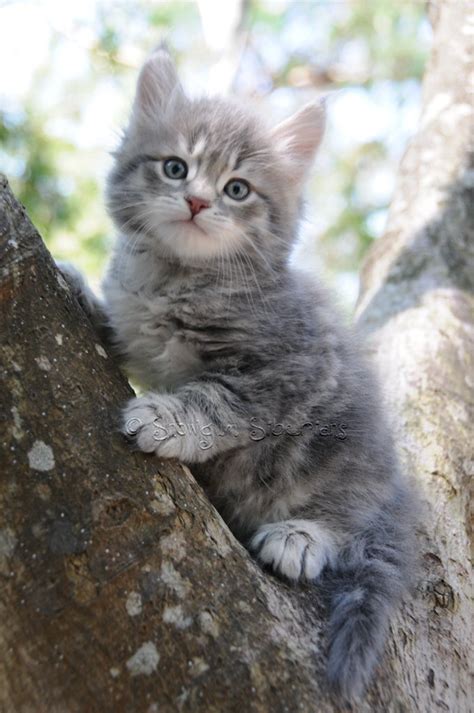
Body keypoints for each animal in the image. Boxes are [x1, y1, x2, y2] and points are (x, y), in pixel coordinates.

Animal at [58, 50, 414, 700]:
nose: (198, 202)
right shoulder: (141, 330)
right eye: (176, 168)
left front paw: (166, 418)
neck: (178, 278)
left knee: (350, 515)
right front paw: (77, 288)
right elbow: (120, 331)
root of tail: (400, 487)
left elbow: (216, 403)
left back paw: (303, 536)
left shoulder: (288, 371)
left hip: (346, 447)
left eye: (237, 189)